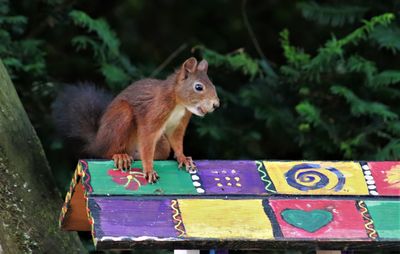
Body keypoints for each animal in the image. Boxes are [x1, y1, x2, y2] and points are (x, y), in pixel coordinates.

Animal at [52, 57, 219, 183]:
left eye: (213, 84)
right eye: (198, 87)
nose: (216, 104)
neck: (179, 103)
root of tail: (97, 141)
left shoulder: (179, 123)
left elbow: (177, 141)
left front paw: (183, 158)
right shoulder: (154, 113)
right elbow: (147, 138)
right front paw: (149, 170)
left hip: (162, 145)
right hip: (121, 117)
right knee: (106, 152)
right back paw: (120, 156)